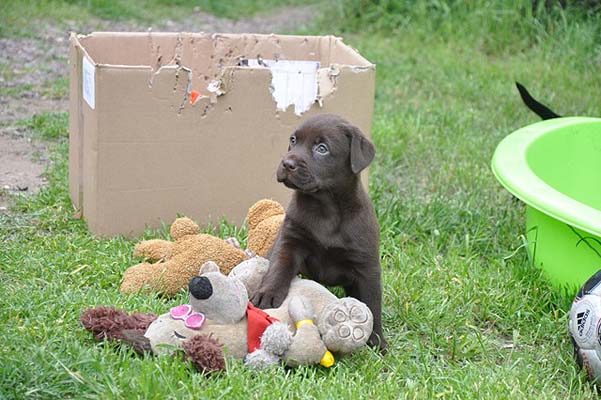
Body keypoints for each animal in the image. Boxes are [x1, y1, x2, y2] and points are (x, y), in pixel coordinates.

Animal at [250, 113, 387, 351]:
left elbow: (371, 301)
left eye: (322, 148)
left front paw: (376, 340)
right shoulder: (290, 241)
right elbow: (279, 268)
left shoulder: (366, 265)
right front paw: (266, 295)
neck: (325, 207)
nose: (287, 163)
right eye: (293, 140)